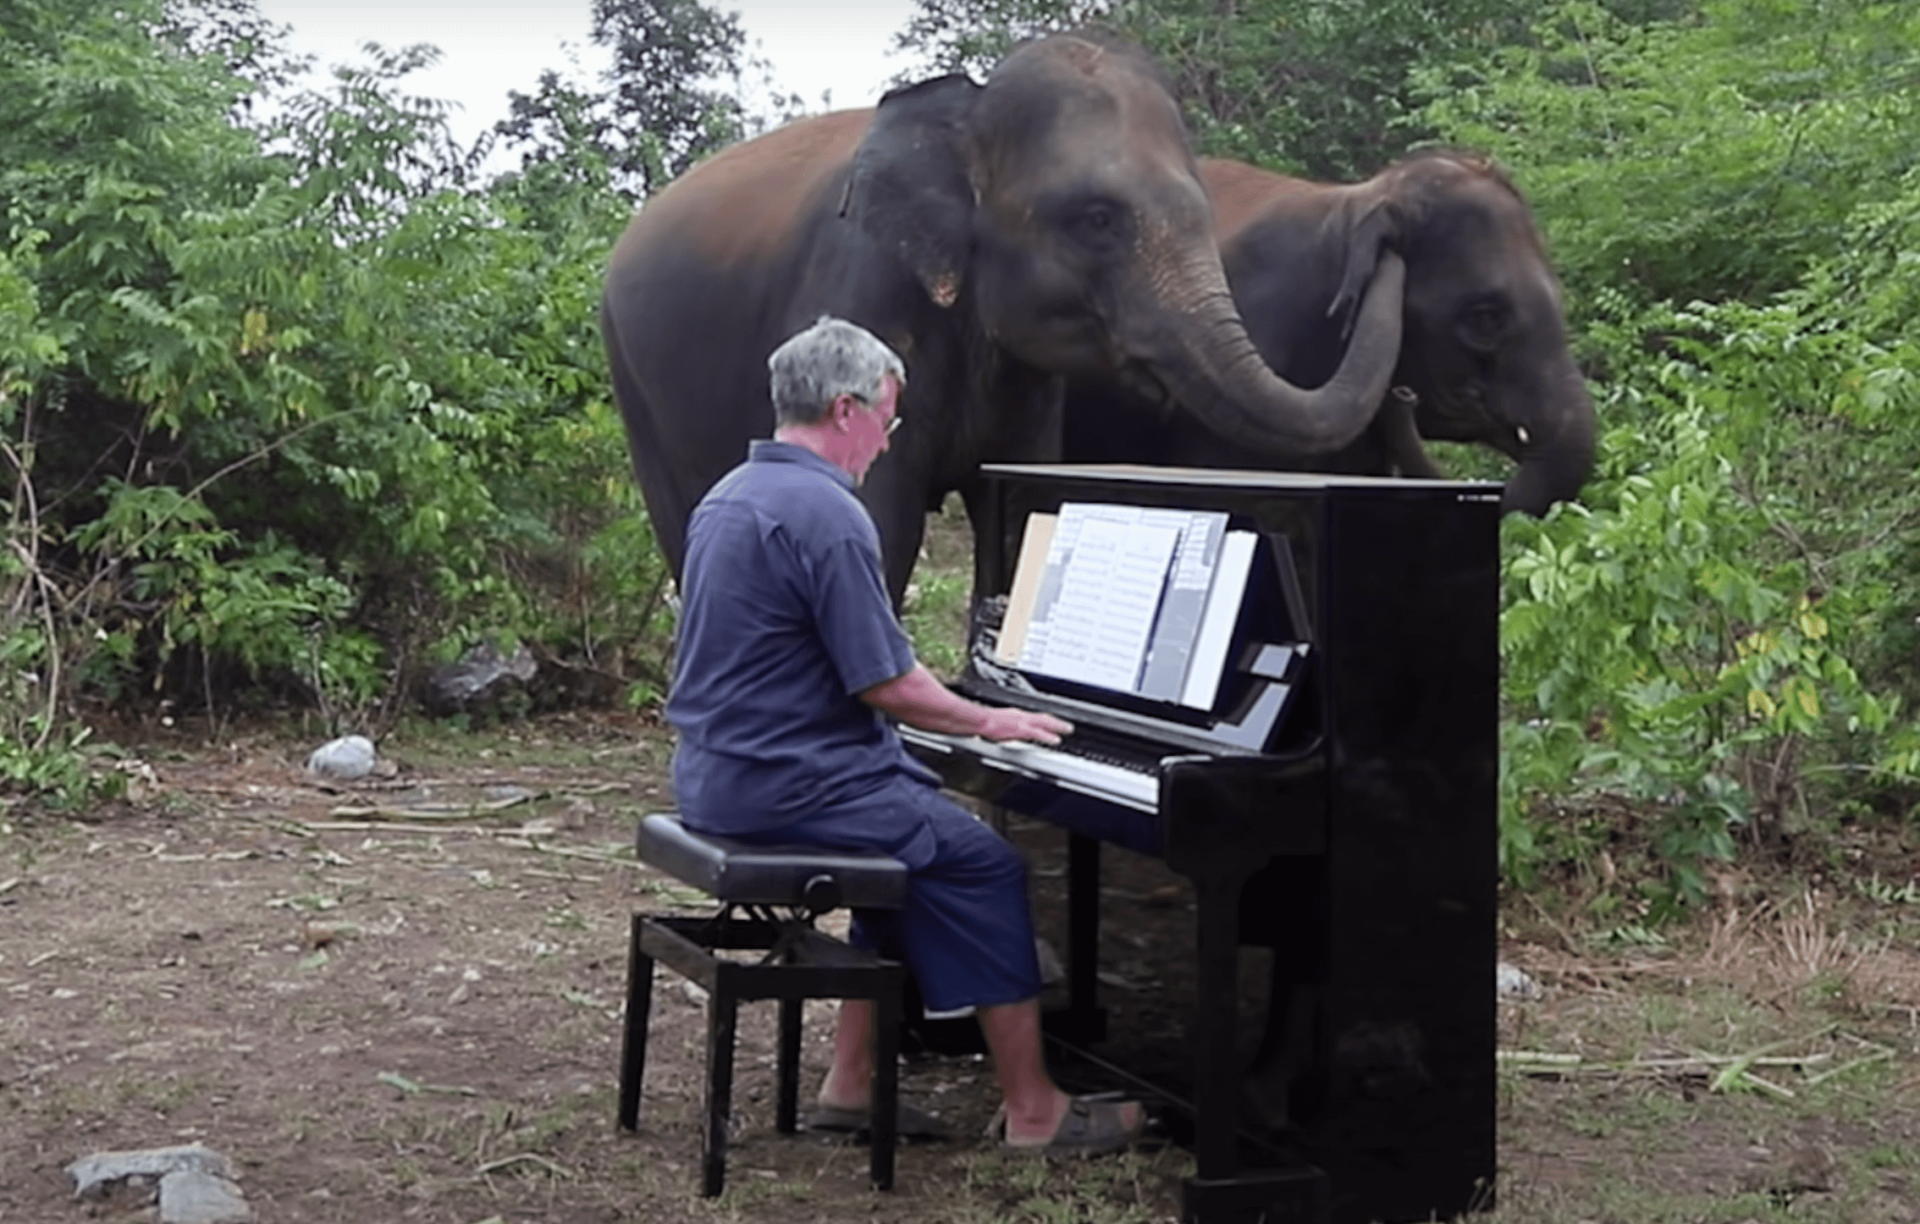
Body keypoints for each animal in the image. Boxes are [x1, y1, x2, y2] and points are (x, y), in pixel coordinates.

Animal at [599, 28, 1413, 606]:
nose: (1389, 234)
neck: (968, 110)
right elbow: (879, 524)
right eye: (1097, 220)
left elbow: (1026, 512)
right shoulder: (859, 287)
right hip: (632, 380)